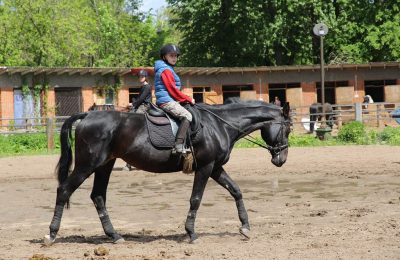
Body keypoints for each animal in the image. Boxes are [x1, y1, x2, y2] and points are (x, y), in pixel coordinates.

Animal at [44, 99, 290, 246]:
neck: (219, 125)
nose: (281, 159)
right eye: (287, 129)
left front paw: (245, 227)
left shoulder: (215, 167)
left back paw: (114, 235)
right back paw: (51, 234)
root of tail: (87, 115)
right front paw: (191, 233)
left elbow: (236, 190)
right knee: (64, 190)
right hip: (87, 164)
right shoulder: (206, 167)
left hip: (105, 164)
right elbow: (196, 199)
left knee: (98, 196)